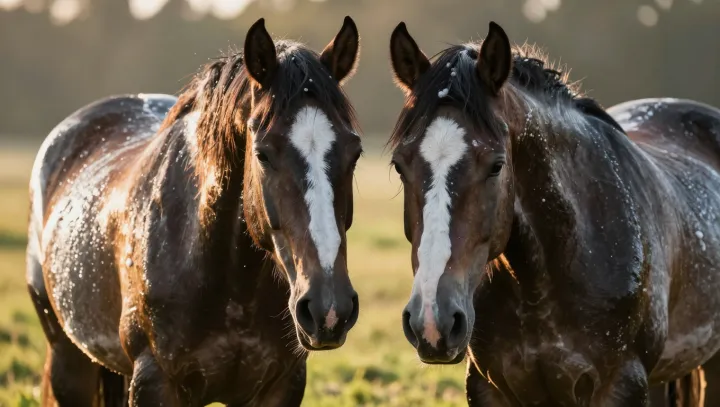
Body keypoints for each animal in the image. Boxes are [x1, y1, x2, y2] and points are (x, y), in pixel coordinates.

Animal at [26, 16, 363, 406]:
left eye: (355, 151)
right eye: (262, 153)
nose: (329, 309)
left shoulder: (284, 383)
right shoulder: (153, 381)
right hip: (69, 362)